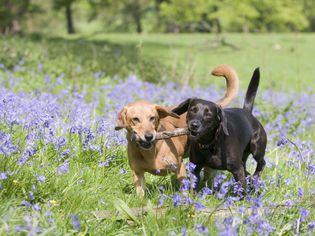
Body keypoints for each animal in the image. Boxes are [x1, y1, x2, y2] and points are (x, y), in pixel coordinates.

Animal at [115, 64, 239, 197]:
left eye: (152, 118)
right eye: (135, 119)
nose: (149, 136)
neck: (152, 152)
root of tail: (213, 105)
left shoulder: (180, 167)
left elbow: (185, 188)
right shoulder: (138, 174)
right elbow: (140, 194)